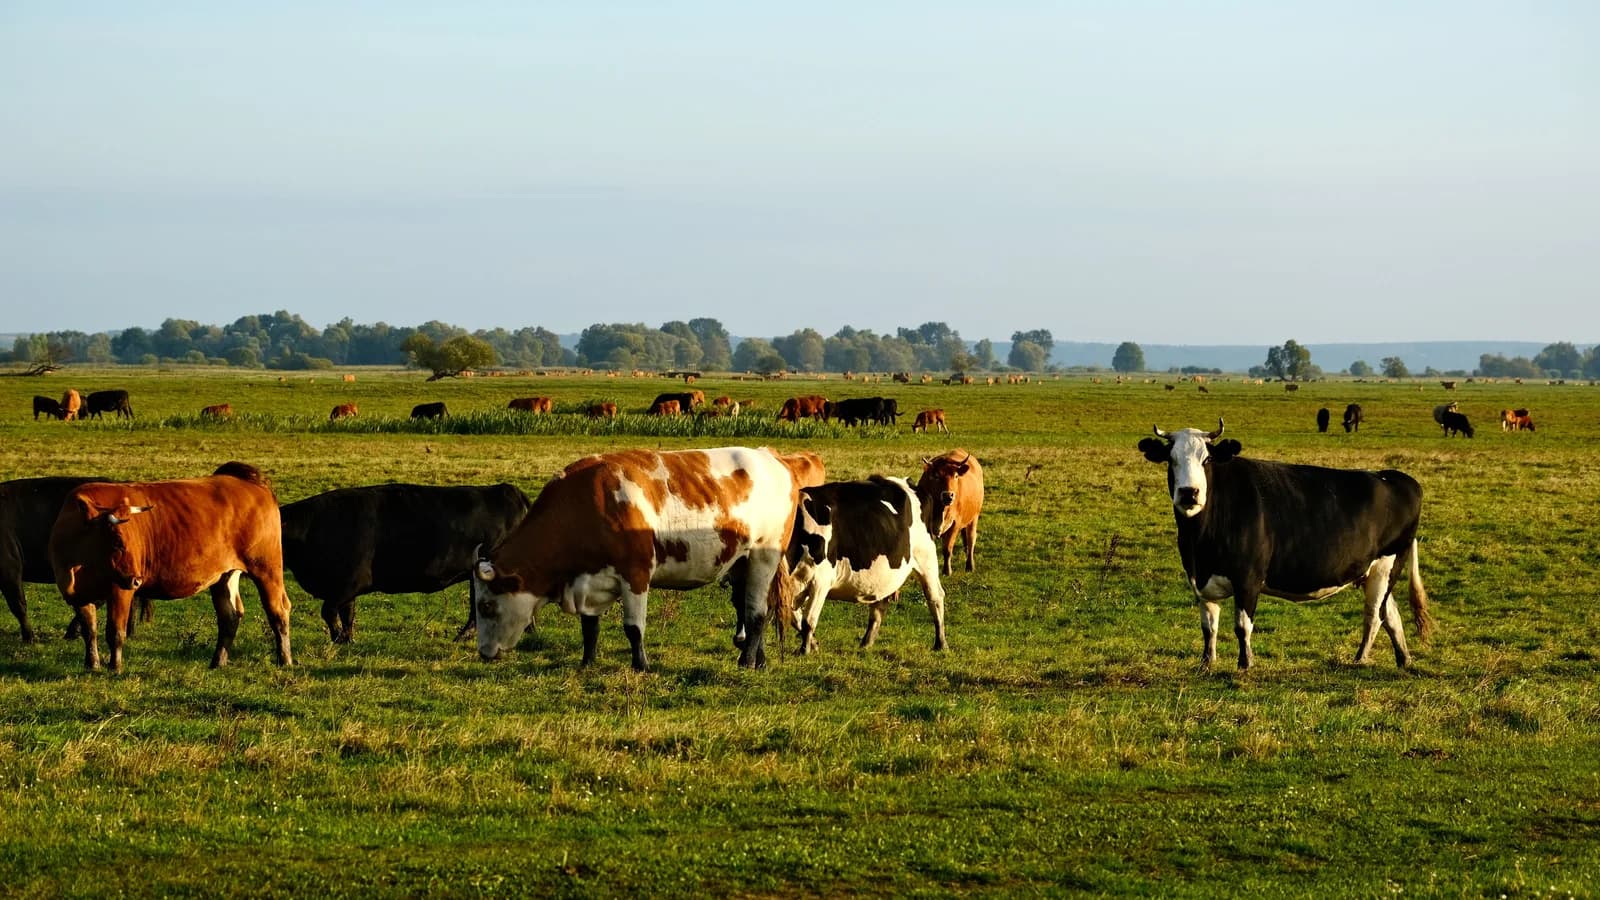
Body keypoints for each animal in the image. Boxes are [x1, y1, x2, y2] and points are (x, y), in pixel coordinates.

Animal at [49, 462, 294, 672]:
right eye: (117, 542)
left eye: (128, 539)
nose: (137, 579)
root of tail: (249, 481)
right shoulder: (78, 595)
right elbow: (89, 630)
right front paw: (92, 664)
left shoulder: (119, 590)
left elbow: (115, 631)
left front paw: (115, 667)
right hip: (225, 575)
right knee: (230, 616)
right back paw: (217, 662)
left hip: (266, 569)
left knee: (278, 611)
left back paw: (284, 659)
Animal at [278, 483, 532, 644]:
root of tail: (508, 489)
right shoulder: (344, 588)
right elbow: (347, 614)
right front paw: (347, 640)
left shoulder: (351, 582)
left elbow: (329, 610)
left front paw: (339, 638)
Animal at [471, 447, 814, 671]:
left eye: (485, 605)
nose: (484, 653)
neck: (588, 503)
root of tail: (774, 458)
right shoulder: (588, 581)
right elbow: (589, 627)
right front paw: (587, 662)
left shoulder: (635, 574)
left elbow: (633, 628)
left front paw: (641, 665)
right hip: (742, 564)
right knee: (756, 609)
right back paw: (760, 659)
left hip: (763, 557)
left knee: (756, 614)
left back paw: (747, 661)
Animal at [782, 477, 946, 653]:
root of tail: (905, 482)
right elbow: (795, 618)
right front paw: (813, 644)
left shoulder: (820, 581)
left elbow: (808, 620)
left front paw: (804, 650)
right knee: (879, 605)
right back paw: (866, 643)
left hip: (926, 558)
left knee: (935, 597)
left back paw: (941, 643)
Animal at [1137, 419, 1432, 670]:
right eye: (1171, 459)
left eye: (1206, 459)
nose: (1189, 493)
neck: (1200, 541)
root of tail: (1396, 478)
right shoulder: (1200, 580)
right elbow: (1209, 627)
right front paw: (1206, 665)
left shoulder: (1248, 578)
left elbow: (1242, 625)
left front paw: (1245, 665)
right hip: (1374, 572)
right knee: (1390, 613)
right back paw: (1403, 659)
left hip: (1387, 563)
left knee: (1374, 615)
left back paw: (1360, 659)